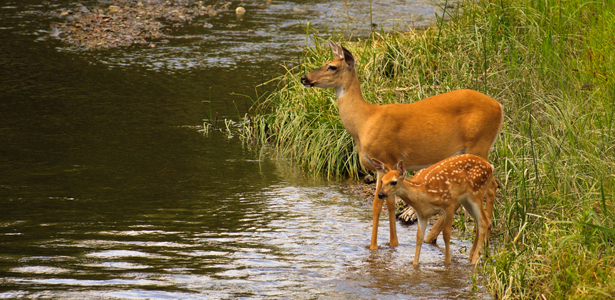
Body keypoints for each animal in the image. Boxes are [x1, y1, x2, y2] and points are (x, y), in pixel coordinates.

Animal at [300, 41, 502, 250]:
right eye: (326, 61)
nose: (304, 78)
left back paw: (484, 238)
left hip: (480, 143)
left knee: (492, 184)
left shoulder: (385, 157)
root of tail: (500, 107)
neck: (363, 122)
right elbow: (385, 203)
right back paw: (435, 237)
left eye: (332, 66)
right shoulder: (383, 166)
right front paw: (391, 243)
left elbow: (380, 204)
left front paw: (375, 246)